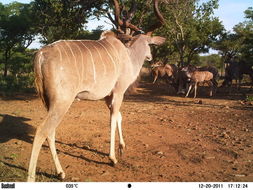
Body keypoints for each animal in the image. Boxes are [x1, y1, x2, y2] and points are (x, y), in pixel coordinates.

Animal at [27, 0, 166, 182]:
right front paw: (113, 158)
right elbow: (113, 119)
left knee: (50, 131)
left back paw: (61, 172)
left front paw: (122, 147)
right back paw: (33, 177)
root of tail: (41, 54)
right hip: (62, 102)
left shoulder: (107, 97)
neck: (128, 56)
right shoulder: (118, 92)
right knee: (42, 130)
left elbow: (119, 116)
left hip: (51, 104)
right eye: (149, 44)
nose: (150, 57)